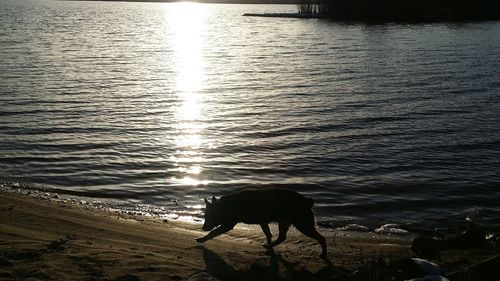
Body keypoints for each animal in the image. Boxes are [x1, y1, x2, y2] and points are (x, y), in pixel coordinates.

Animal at [193, 188, 326, 258]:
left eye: (209, 217)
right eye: (205, 216)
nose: (203, 228)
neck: (224, 206)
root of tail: (307, 201)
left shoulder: (228, 225)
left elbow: (213, 232)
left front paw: (202, 238)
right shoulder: (263, 222)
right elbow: (268, 234)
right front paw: (269, 243)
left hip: (303, 224)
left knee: (321, 238)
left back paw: (323, 254)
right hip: (285, 222)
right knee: (282, 237)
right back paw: (270, 246)